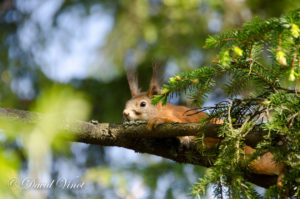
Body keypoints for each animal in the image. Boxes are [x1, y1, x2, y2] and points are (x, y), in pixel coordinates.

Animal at [123, 66, 284, 187]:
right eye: (126, 103)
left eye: (143, 104)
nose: (125, 113)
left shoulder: (178, 118)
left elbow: (177, 125)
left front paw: (158, 120)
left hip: (253, 158)